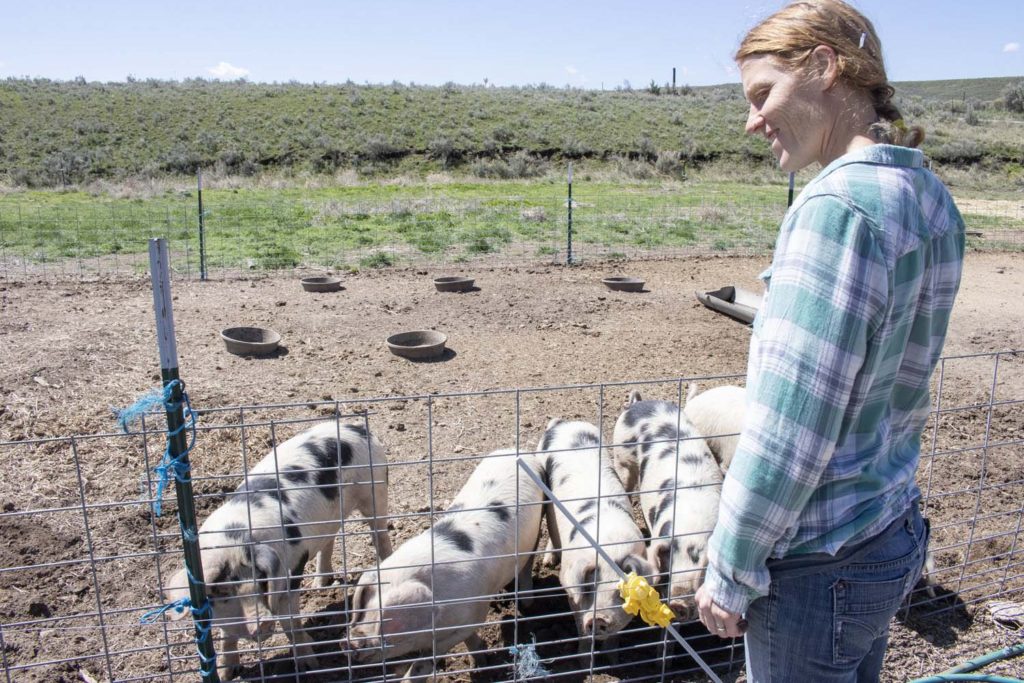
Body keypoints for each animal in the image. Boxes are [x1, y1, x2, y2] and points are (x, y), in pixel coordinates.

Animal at [163, 419, 391, 679]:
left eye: (261, 579)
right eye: (221, 591)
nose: (261, 621)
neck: (236, 538)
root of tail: (356, 427)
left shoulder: (291, 572)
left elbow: (291, 624)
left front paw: (311, 667)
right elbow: (226, 636)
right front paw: (227, 674)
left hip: (375, 490)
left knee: (380, 533)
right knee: (329, 538)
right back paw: (320, 584)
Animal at [344, 448, 544, 683]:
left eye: (390, 618)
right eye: (365, 604)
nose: (351, 641)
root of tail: (516, 450)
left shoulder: (472, 615)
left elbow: (425, 662)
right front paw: (479, 663)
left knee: (527, 563)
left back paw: (527, 603)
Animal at [536, 417, 655, 651]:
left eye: (621, 593)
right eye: (589, 587)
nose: (598, 618)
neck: (611, 547)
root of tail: (565, 423)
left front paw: (611, 655)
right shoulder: (569, 583)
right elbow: (580, 627)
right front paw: (584, 656)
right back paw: (548, 562)